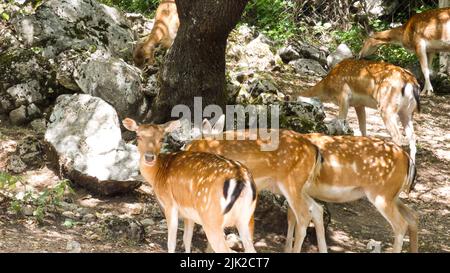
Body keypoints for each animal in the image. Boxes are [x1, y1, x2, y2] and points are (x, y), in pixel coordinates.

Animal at [122, 118, 256, 252]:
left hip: (211, 218)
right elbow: (187, 239)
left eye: (161, 138)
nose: (149, 157)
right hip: (247, 219)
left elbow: (171, 242)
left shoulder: (170, 204)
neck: (157, 173)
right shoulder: (188, 214)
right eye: (138, 136)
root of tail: (241, 179)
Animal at [286, 133, 420, 252]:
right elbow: (291, 216)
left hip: (382, 195)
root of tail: (407, 159)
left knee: (401, 224)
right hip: (392, 196)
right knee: (412, 216)